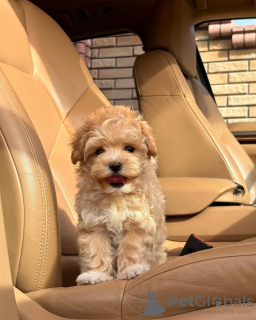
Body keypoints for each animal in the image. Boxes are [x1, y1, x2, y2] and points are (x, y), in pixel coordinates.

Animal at [71, 105, 167, 284]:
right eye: (99, 151)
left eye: (129, 149)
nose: (115, 164)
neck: (116, 194)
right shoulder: (94, 223)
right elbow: (95, 248)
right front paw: (95, 274)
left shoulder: (137, 221)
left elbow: (132, 246)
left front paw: (132, 269)